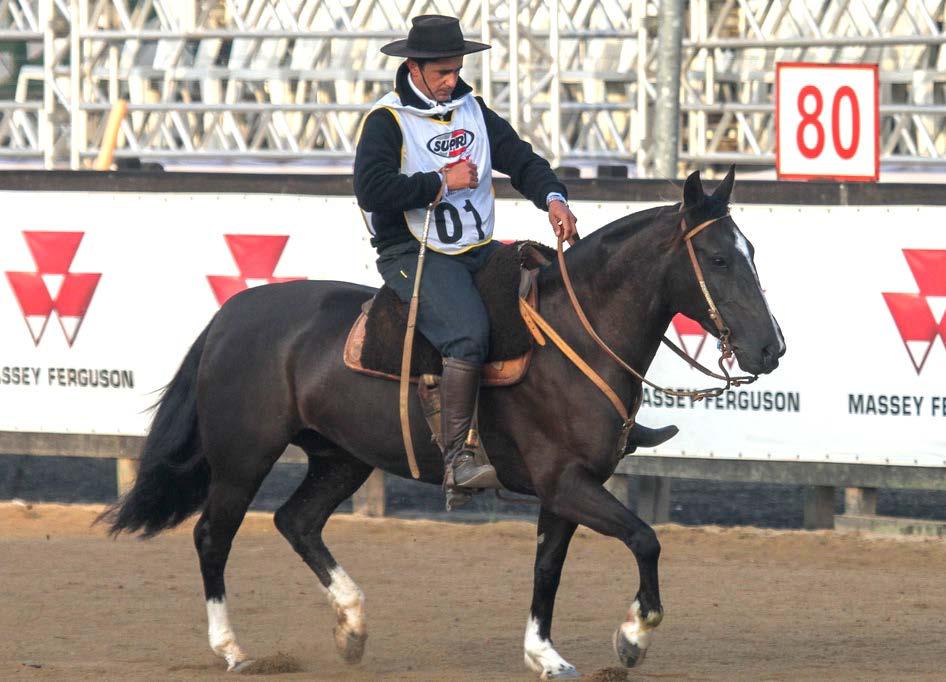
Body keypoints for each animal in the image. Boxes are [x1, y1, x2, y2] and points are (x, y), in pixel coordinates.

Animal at [103, 169, 780, 676]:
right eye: (718, 258)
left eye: (750, 252)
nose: (770, 349)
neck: (572, 338)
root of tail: (231, 314)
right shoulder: (568, 483)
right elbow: (645, 538)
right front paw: (633, 635)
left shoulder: (567, 488)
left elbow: (548, 569)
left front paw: (545, 654)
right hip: (243, 458)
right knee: (212, 536)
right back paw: (234, 650)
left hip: (340, 458)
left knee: (297, 522)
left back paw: (352, 625)